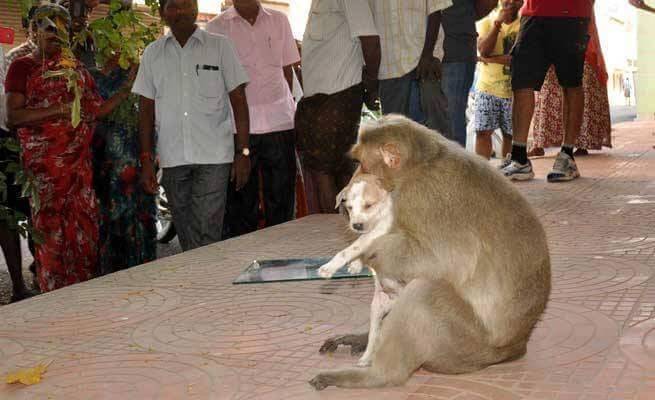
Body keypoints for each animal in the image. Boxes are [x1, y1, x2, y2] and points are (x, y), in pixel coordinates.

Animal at [309, 114, 551, 390]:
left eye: (360, 163)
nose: (352, 179)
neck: (419, 166)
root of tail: (517, 346)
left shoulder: (416, 198)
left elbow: (444, 261)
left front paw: (363, 254)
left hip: (464, 345)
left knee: (424, 291)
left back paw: (377, 375)